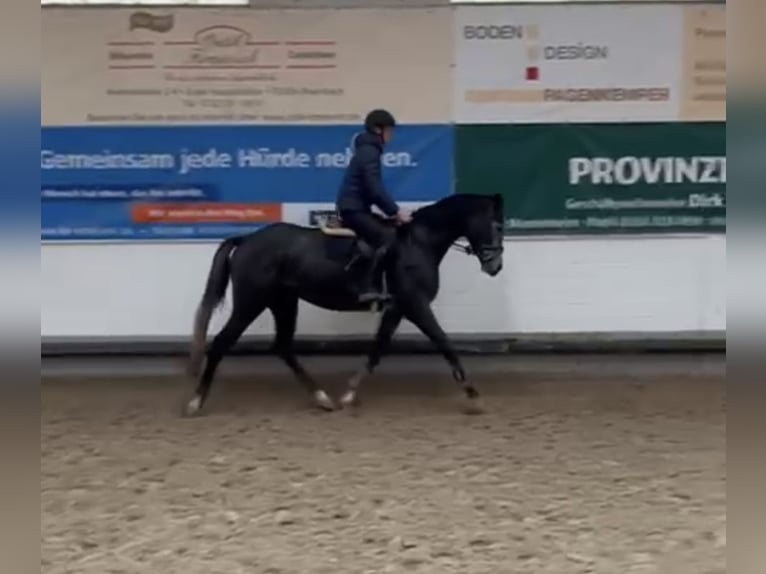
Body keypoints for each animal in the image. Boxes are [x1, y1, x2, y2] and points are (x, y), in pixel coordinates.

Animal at [185, 192, 508, 414]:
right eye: (496, 224)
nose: (496, 267)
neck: (418, 243)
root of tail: (247, 239)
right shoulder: (416, 305)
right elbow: (444, 343)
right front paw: (473, 395)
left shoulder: (397, 308)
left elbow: (378, 349)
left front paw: (349, 393)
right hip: (251, 302)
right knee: (222, 343)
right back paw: (195, 401)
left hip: (283, 302)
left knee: (283, 347)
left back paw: (322, 398)